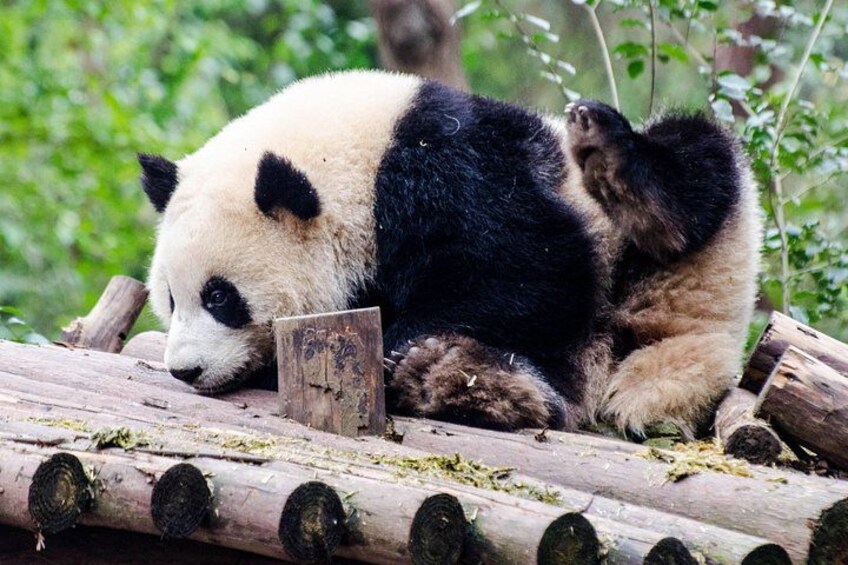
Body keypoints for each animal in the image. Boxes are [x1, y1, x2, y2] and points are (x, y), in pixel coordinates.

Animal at [139, 70, 760, 437]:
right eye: (169, 300)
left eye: (221, 297)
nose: (186, 370)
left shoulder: (449, 168)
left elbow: (532, 271)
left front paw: (400, 338)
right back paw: (459, 379)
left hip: (685, 244)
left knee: (696, 169)